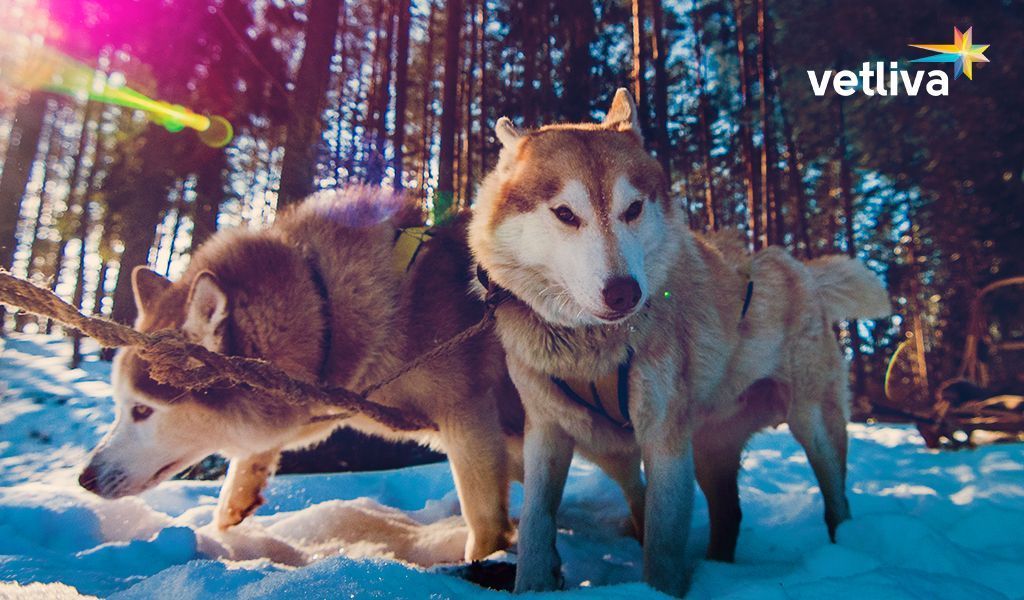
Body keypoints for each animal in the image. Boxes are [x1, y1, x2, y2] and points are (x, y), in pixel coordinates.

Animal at [77, 188, 528, 561]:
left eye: (142, 410)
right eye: (120, 406)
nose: (85, 478)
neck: (325, 306)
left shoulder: (469, 419)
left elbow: (486, 523)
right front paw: (233, 511)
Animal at [468, 90, 892, 593]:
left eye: (632, 209)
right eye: (565, 214)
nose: (624, 292)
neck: (592, 348)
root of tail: (801, 269)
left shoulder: (664, 439)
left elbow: (663, 546)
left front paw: (659, 589)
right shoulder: (546, 434)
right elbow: (536, 524)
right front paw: (533, 584)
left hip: (813, 428)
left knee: (837, 504)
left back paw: (846, 557)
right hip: (708, 453)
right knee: (730, 515)